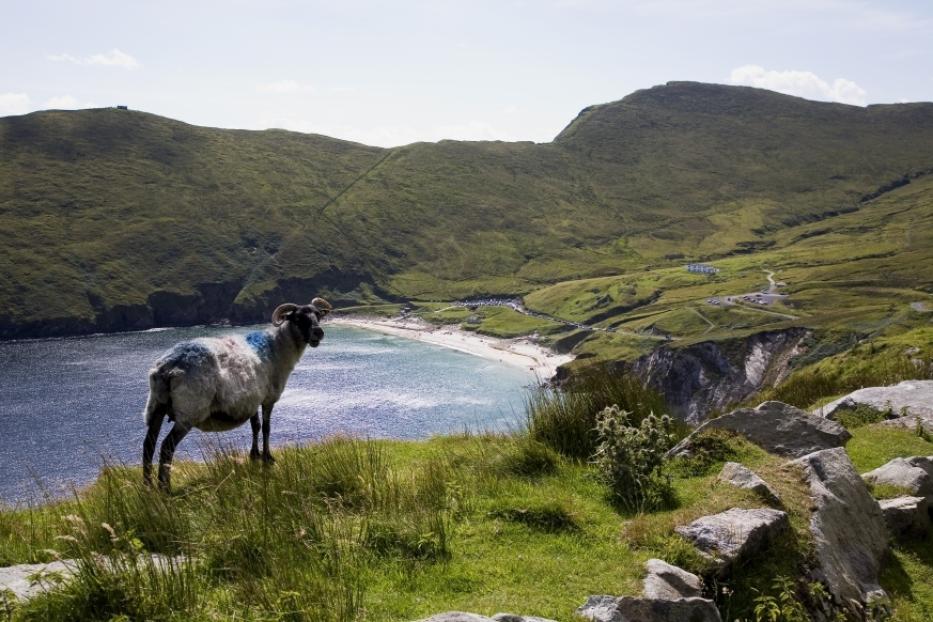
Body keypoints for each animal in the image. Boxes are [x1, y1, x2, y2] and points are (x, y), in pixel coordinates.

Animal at [142, 297, 333, 489]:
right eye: (299, 318)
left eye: (318, 315)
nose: (318, 332)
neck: (277, 347)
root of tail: (168, 368)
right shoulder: (268, 399)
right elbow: (266, 428)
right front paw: (267, 458)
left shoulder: (252, 399)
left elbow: (256, 426)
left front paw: (255, 456)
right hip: (189, 411)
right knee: (167, 446)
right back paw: (164, 487)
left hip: (156, 405)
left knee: (148, 445)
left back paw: (148, 487)